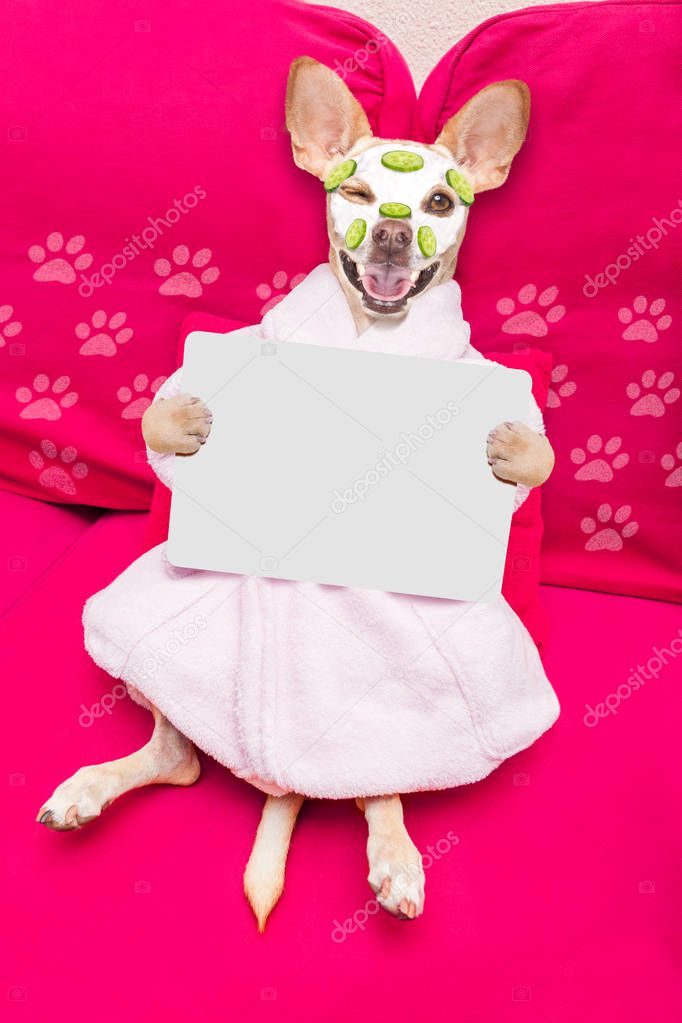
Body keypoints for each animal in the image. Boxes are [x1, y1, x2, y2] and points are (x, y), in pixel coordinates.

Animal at [38, 59, 556, 932]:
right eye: (356, 192)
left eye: (439, 203)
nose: (390, 230)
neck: (369, 341)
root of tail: (278, 780)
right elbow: (157, 416)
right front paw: (188, 419)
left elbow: (539, 459)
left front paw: (512, 448)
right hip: (143, 646)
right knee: (177, 757)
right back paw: (88, 789)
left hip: (407, 731)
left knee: (379, 789)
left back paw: (395, 860)